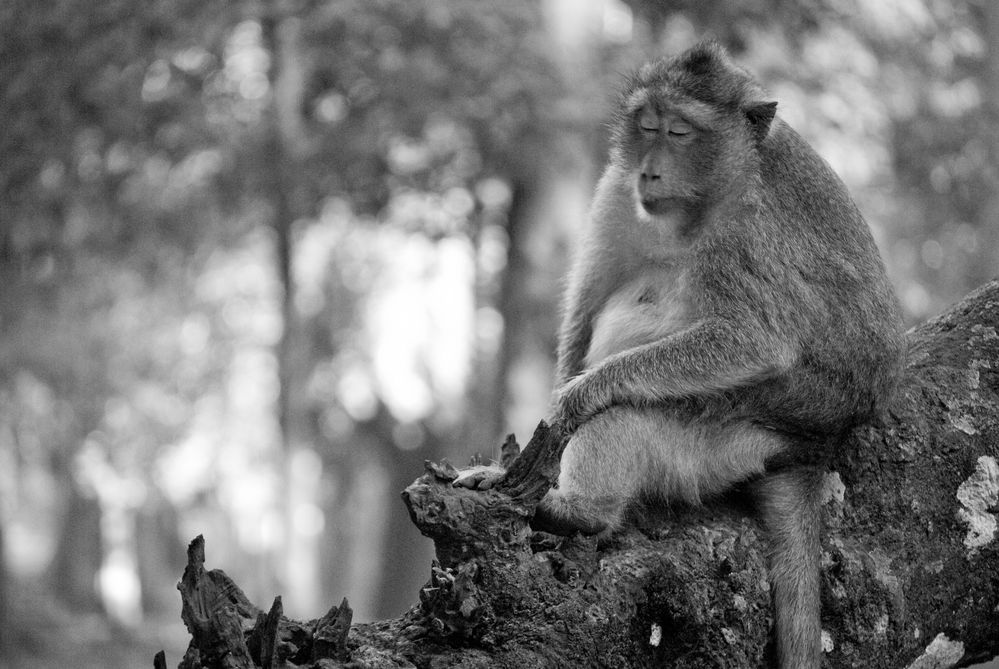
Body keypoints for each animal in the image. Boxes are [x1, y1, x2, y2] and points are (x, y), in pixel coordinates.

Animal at [458, 43, 912, 668]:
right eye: (647, 126)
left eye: (680, 131)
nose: (650, 170)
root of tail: (811, 451)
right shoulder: (617, 190)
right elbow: (587, 309)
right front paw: (528, 447)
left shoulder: (745, 233)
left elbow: (755, 340)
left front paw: (581, 395)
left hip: (730, 441)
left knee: (629, 416)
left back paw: (578, 509)